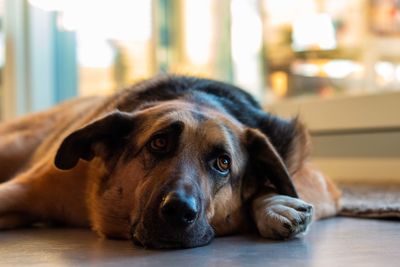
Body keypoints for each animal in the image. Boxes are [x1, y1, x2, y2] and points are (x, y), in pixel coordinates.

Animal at [0, 75, 340, 249]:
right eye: (159, 143)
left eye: (223, 163)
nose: (179, 211)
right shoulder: (23, 190)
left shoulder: (317, 180)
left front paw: (273, 204)